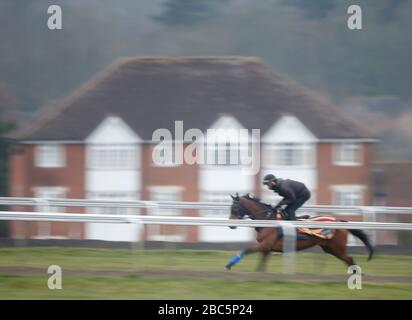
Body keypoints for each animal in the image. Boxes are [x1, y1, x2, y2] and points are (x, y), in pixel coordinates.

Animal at [225, 194, 374, 272]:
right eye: (230, 208)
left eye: (235, 208)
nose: (230, 225)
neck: (267, 221)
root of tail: (339, 221)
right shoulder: (266, 248)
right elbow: (261, 265)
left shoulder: (264, 245)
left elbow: (247, 249)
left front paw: (229, 265)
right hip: (329, 248)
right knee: (348, 260)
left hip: (337, 248)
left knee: (349, 259)